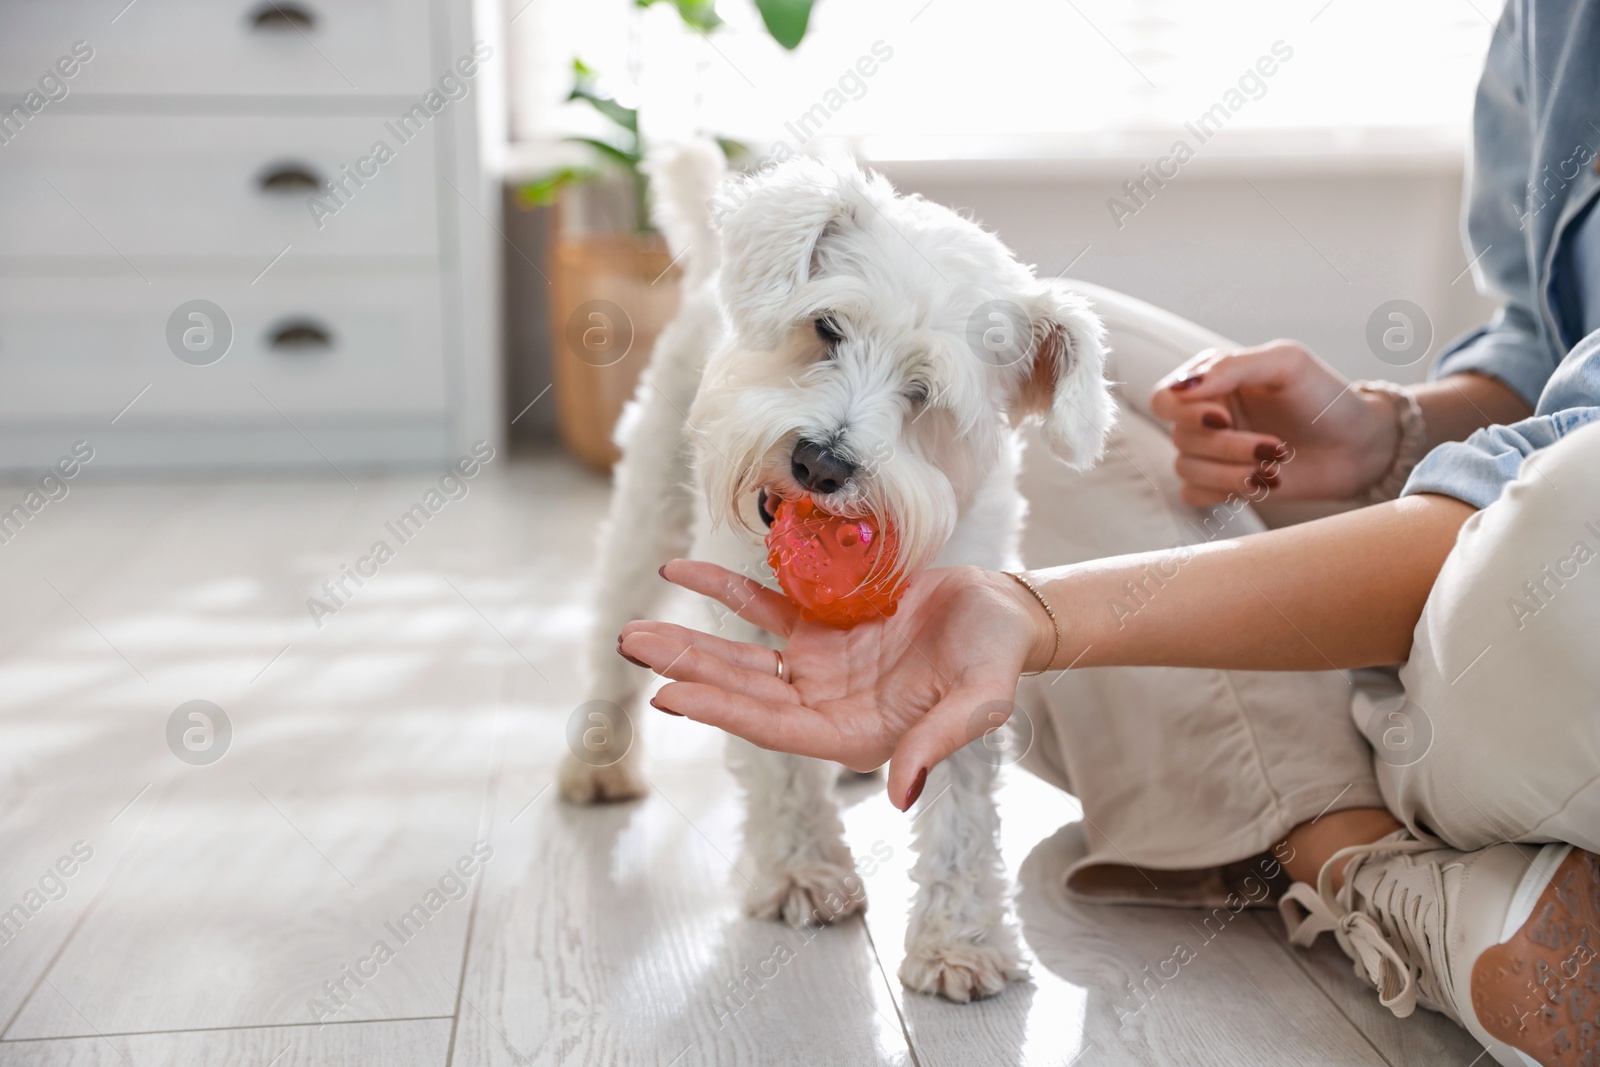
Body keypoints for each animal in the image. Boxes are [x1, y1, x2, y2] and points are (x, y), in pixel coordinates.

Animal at [560, 139, 1113, 1004]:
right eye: (826, 328)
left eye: (926, 393)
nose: (820, 461)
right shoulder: (751, 625)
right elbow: (780, 768)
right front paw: (802, 872)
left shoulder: (959, 638)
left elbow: (963, 811)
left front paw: (962, 939)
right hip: (646, 507)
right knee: (606, 640)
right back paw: (595, 762)